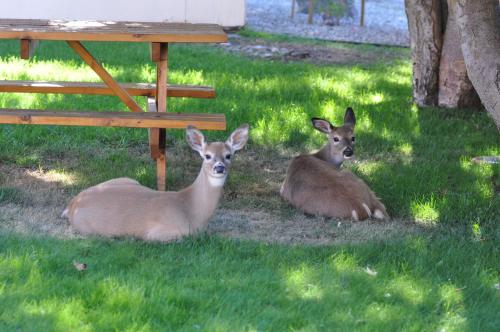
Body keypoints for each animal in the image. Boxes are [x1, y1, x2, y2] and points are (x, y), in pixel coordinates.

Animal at [62, 124, 250, 241]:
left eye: (228, 155)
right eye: (207, 156)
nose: (219, 168)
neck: (190, 210)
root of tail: (72, 205)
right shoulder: (156, 233)